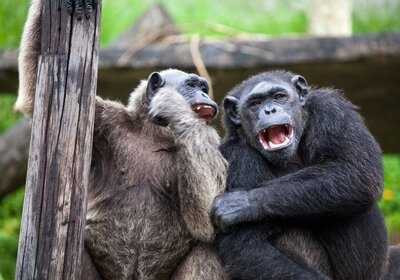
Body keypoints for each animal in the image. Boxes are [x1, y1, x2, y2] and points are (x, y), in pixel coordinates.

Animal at [211, 70, 390, 280]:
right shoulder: (236, 156)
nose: (269, 110)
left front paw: (242, 203)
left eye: (279, 96)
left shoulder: (332, 112)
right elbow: (246, 244)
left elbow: (357, 169)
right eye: (255, 104)